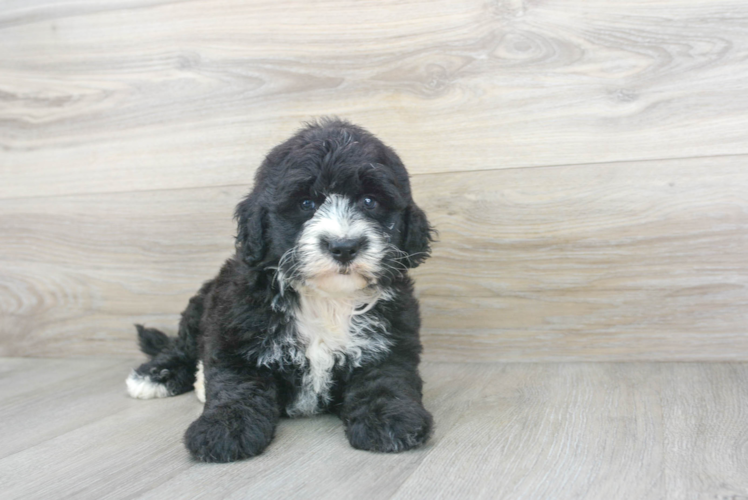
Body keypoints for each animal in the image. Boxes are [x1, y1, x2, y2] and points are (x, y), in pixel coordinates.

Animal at [126, 119, 436, 462]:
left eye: (369, 201)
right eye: (306, 203)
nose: (343, 246)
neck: (327, 298)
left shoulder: (391, 340)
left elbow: (386, 379)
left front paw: (391, 418)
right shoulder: (235, 336)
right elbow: (237, 385)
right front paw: (225, 427)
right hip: (201, 305)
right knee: (182, 345)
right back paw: (155, 375)